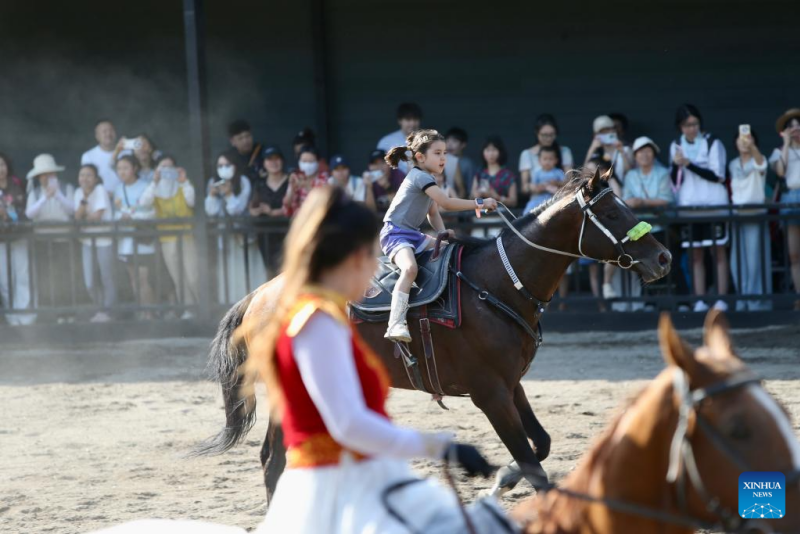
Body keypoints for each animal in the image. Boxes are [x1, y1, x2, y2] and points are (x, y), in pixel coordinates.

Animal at [195, 167, 673, 501]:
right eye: (611, 212)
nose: (664, 257)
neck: (499, 283)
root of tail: (260, 295)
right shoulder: (489, 394)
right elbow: (535, 468)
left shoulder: (511, 384)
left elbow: (539, 445)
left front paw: (501, 479)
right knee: (272, 460)